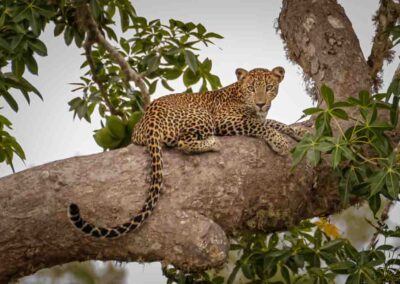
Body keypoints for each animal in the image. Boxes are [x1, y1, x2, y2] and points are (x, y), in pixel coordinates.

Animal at [68, 65, 304, 239]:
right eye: (252, 88)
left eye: (270, 87)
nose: (261, 103)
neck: (240, 94)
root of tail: (149, 119)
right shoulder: (226, 120)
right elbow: (261, 125)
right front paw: (279, 142)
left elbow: (274, 122)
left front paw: (298, 131)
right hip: (203, 117)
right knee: (183, 143)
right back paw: (212, 143)